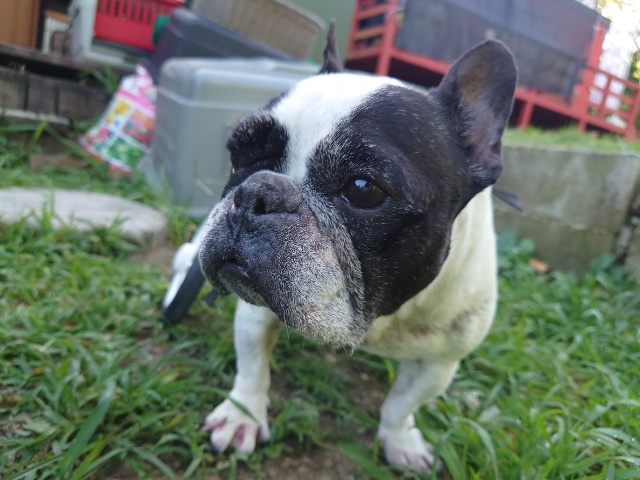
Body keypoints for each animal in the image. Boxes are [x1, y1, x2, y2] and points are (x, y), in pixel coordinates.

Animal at [198, 23, 516, 472]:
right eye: (237, 156)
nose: (258, 193)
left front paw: (400, 440)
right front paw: (241, 415)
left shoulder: (440, 362)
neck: (381, 315)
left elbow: (403, 404)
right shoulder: (254, 312)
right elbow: (252, 366)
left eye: (365, 189)